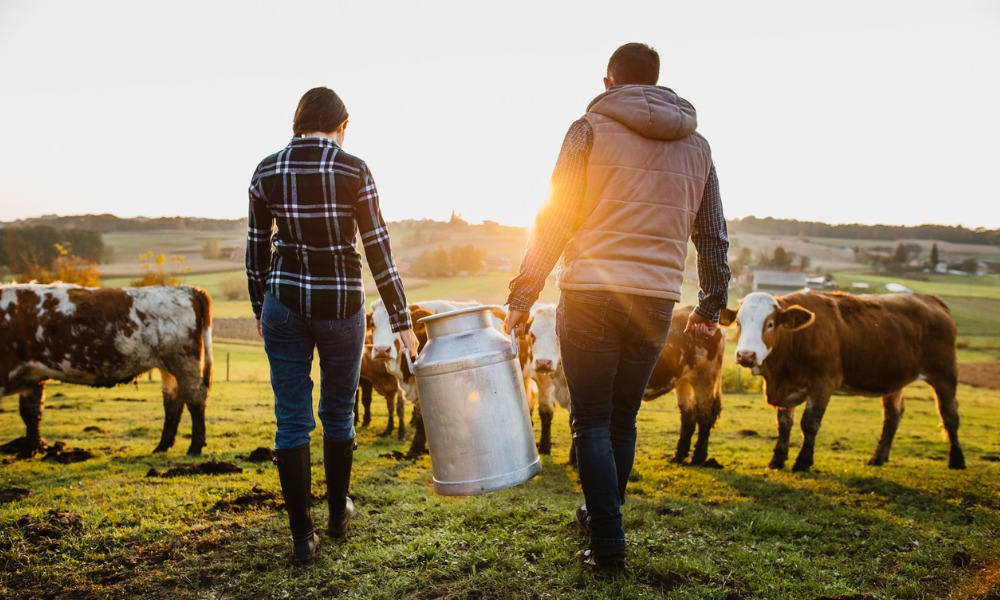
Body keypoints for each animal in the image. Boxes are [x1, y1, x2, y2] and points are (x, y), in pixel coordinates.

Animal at [0, 284, 213, 458]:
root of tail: (190, 290)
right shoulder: (32, 376)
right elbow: (30, 412)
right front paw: (30, 450)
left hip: (184, 362)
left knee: (195, 398)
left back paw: (194, 447)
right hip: (169, 368)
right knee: (173, 402)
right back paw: (162, 447)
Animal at [724, 290, 964, 474]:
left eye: (771, 323)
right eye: (738, 323)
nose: (746, 355)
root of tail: (930, 298)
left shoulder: (823, 384)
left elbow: (809, 424)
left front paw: (803, 462)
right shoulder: (785, 389)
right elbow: (784, 424)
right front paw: (777, 460)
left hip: (944, 373)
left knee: (949, 415)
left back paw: (957, 460)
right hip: (895, 380)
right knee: (892, 416)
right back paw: (878, 457)